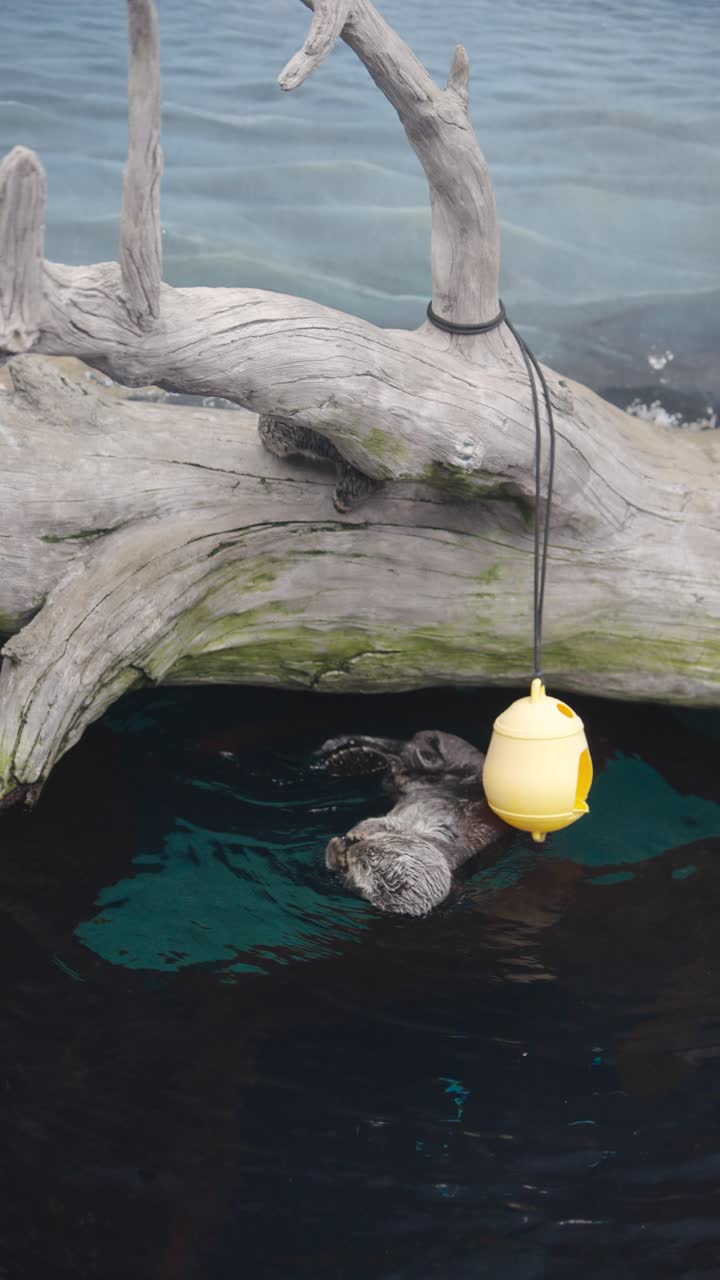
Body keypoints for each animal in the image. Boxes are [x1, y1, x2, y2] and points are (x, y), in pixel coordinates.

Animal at [317, 730, 510, 916]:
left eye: (364, 865)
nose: (354, 848)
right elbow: (391, 823)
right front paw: (351, 838)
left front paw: (344, 845)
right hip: (456, 756)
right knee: (408, 748)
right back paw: (349, 757)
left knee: (403, 756)